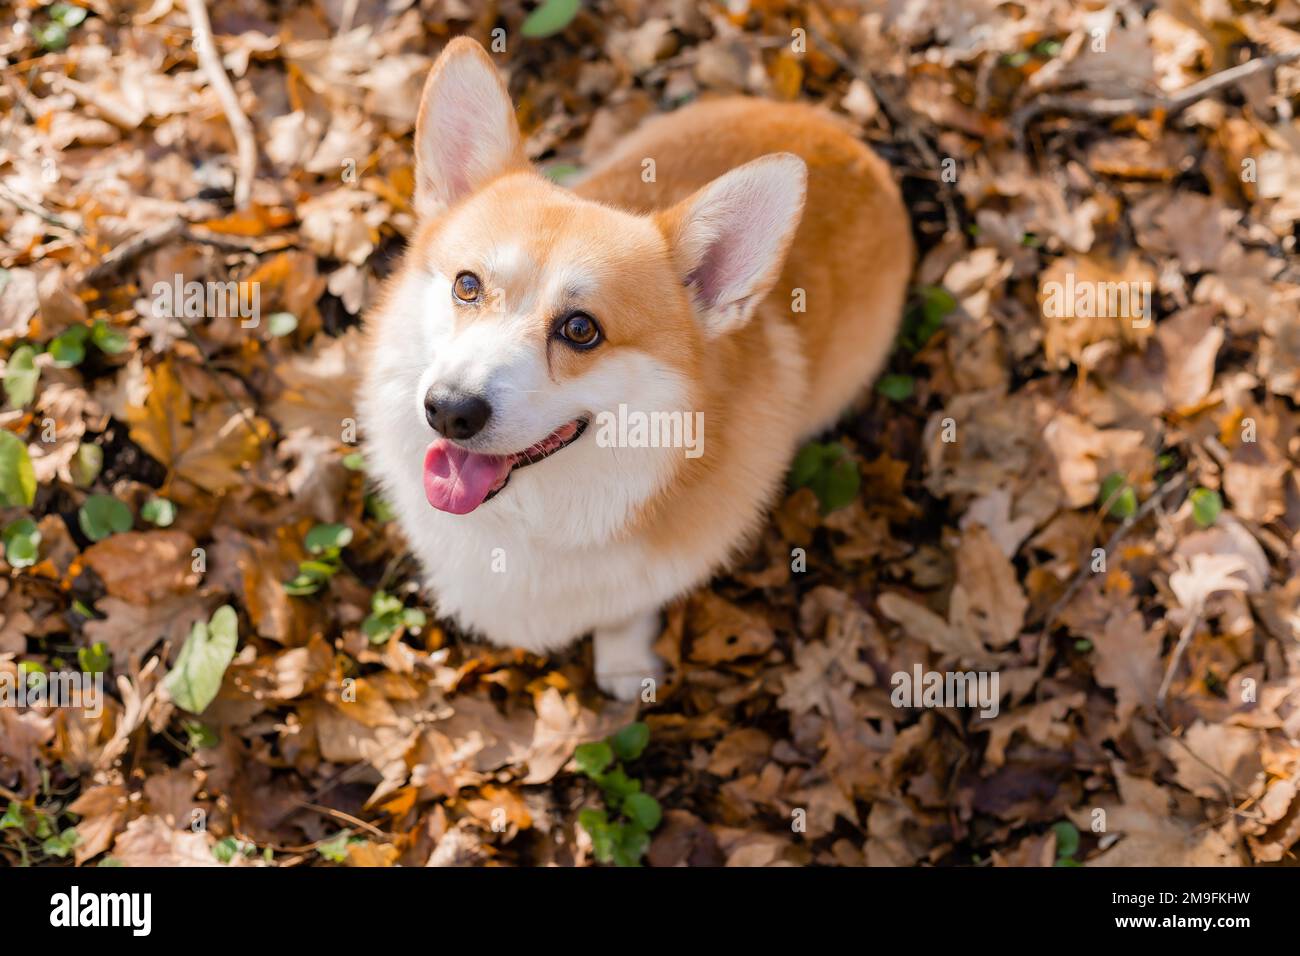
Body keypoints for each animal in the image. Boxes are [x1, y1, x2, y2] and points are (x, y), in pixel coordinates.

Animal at [361, 37, 915, 697]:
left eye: (581, 330)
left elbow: (626, 613)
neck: (534, 517)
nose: (449, 411)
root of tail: (843, 135)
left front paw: (625, 668)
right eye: (467, 285)